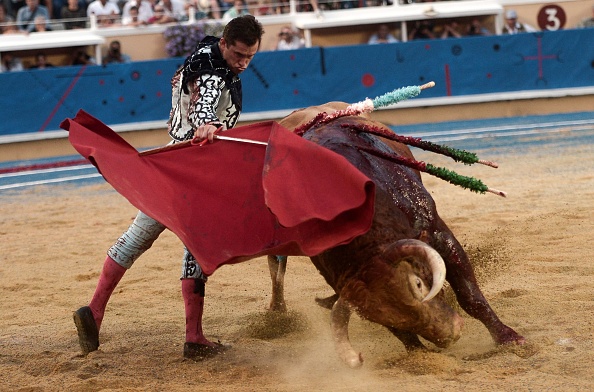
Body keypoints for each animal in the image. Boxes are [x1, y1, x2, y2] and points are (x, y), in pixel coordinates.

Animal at [264, 102, 524, 370]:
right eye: (378, 318)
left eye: (418, 284)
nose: (450, 335)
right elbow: (404, 334)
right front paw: (421, 356)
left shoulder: (438, 233)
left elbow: (470, 296)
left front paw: (509, 338)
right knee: (277, 269)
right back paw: (277, 315)